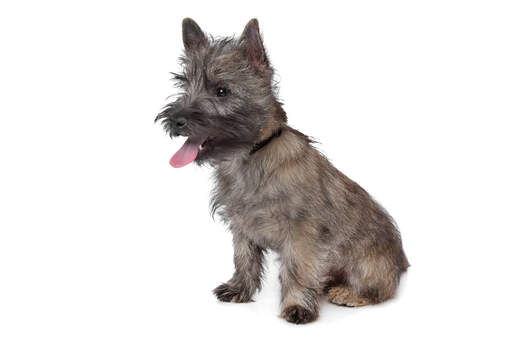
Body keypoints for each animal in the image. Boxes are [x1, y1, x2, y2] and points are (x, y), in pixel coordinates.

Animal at [156, 18, 408, 324]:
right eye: (184, 85)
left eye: (222, 91)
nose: (175, 120)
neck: (251, 155)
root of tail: (402, 261)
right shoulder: (242, 227)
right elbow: (244, 260)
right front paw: (239, 289)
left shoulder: (302, 233)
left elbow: (298, 269)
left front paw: (297, 306)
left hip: (368, 264)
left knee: (381, 289)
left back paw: (348, 292)